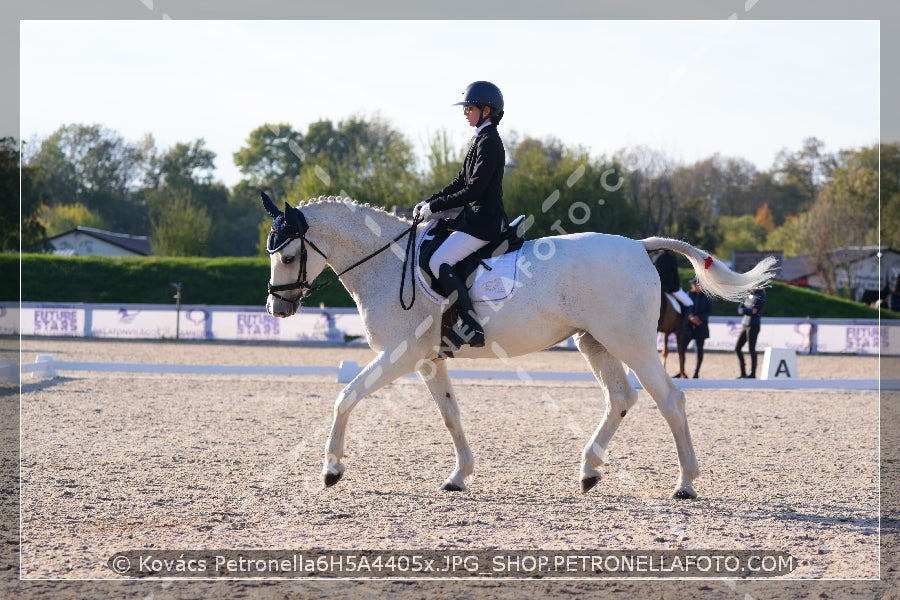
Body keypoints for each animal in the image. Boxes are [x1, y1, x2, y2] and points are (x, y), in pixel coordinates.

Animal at [262, 192, 780, 496]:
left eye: (287, 256)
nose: (276, 309)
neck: (389, 265)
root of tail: (638, 246)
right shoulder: (428, 360)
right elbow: (450, 415)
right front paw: (459, 475)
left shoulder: (399, 355)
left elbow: (346, 396)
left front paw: (331, 470)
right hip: (595, 342)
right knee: (621, 397)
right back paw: (589, 470)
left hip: (631, 342)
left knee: (670, 398)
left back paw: (686, 483)